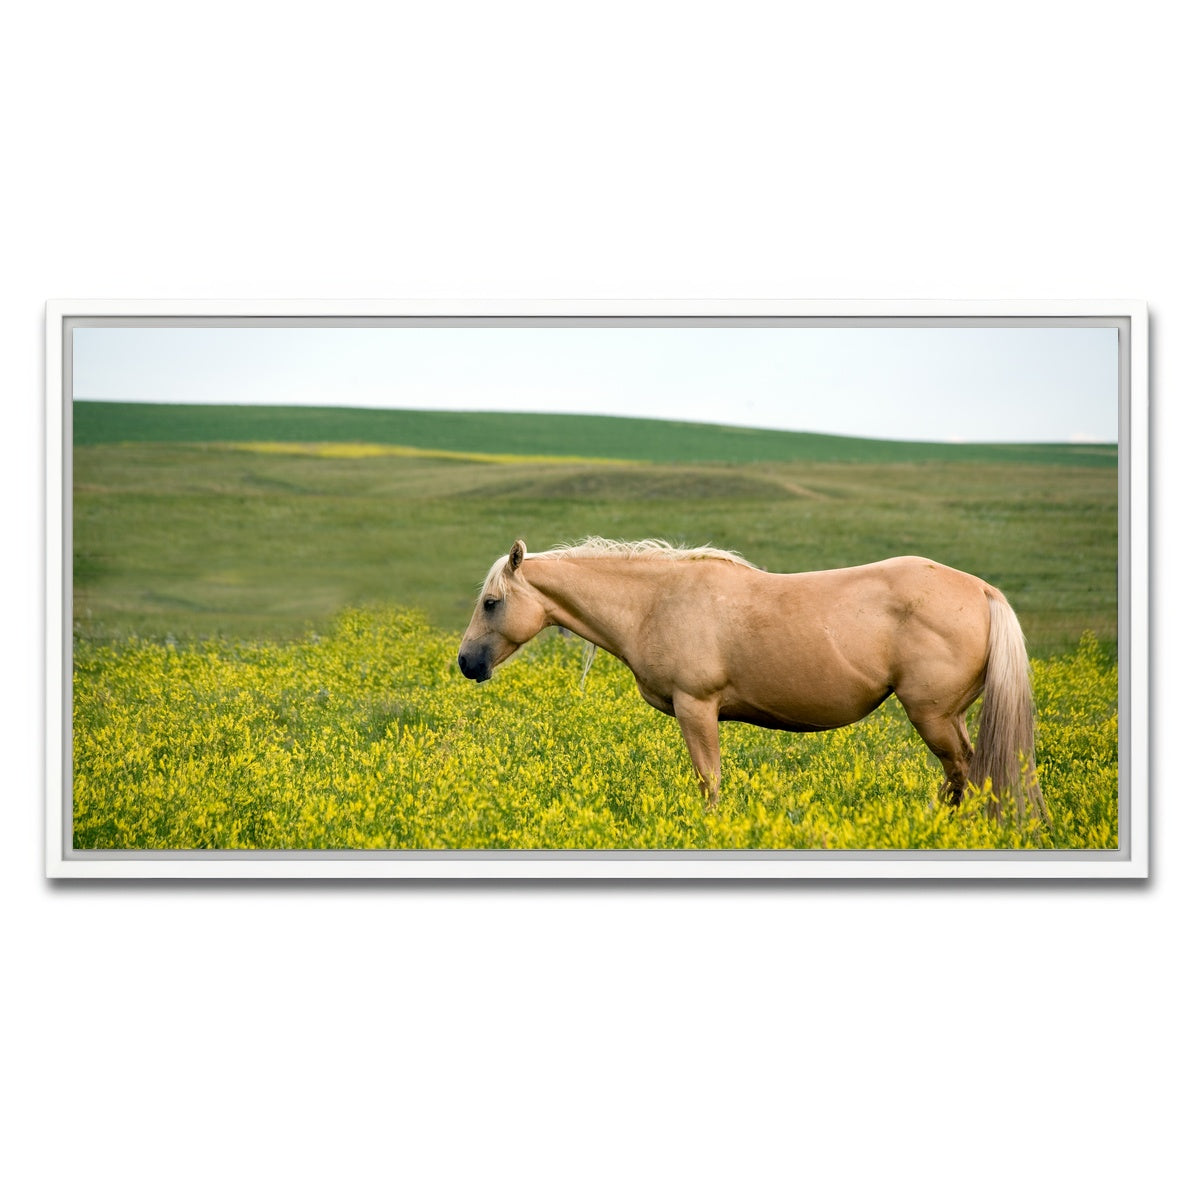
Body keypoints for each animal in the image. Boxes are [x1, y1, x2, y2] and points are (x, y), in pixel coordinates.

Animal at [457, 537, 1047, 822]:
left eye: (491, 603)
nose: (466, 663)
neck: (655, 601)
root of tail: (982, 591)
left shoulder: (697, 709)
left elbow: (709, 782)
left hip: (933, 717)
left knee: (965, 773)